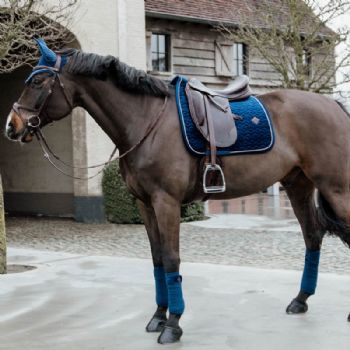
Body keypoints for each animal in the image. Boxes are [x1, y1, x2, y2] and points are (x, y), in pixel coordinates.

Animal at [4, 39, 350, 344]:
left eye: (39, 82)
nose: (12, 126)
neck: (145, 121)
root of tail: (334, 105)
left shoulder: (166, 202)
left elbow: (172, 259)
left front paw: (173, 325)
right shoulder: (144, 204)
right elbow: (157, 259)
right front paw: (158, 316)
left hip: (336, 188)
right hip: (298, 185)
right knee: (312, 237)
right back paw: (300, 300)